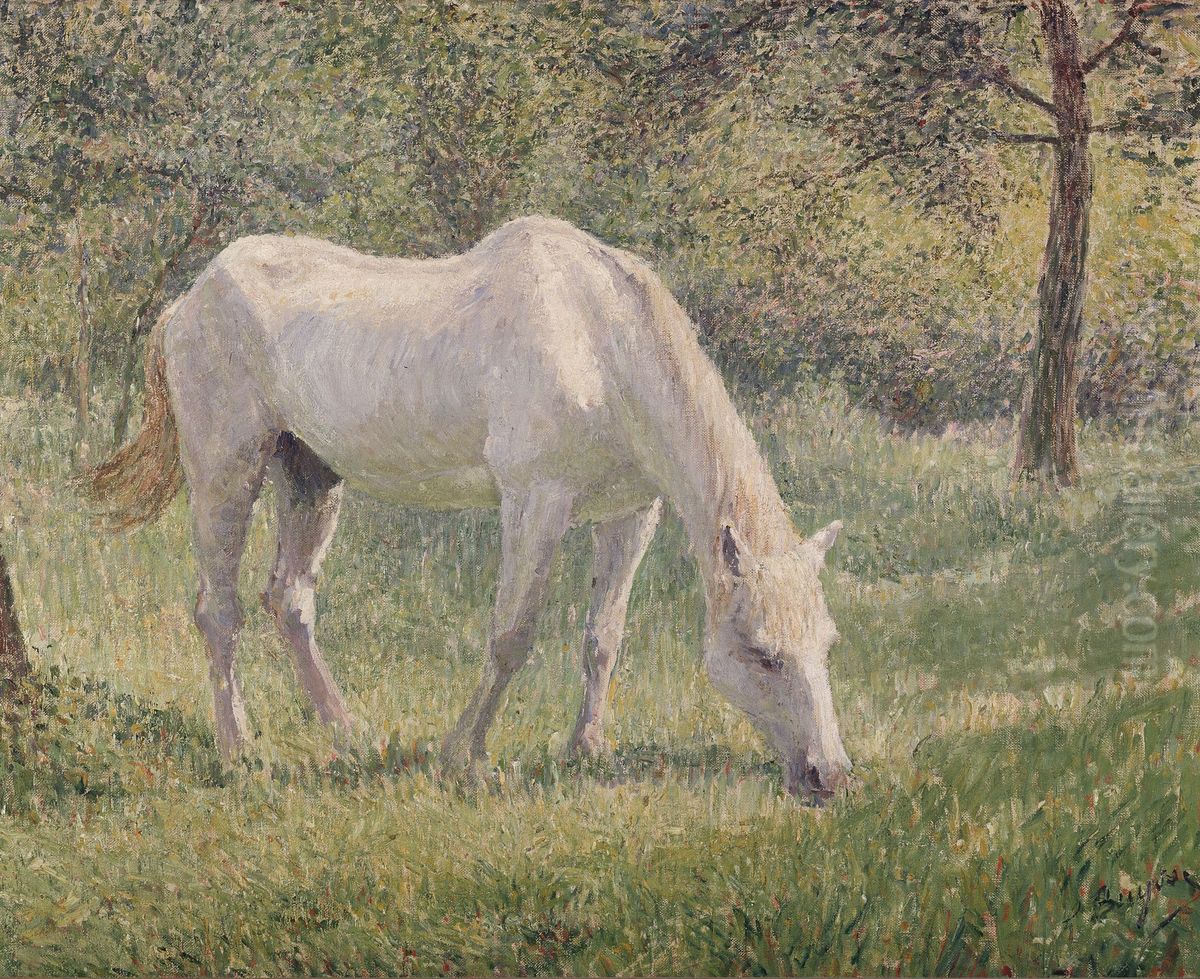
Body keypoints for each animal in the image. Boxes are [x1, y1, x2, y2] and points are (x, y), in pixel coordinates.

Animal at [84, 216, 851, 800]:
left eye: (827, 644)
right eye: (762, 654)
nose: (832, 777)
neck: (597, 340)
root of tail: (189, 300)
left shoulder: (631, 513)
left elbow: (604, 636)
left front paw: (586, 748)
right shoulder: (535, 502)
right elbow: (512, 634)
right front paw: (464, 756)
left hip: (311, 476)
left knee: (290, 598)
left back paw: (348, 733)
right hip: (226, 470)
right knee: (219, 610)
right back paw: (240, 749)